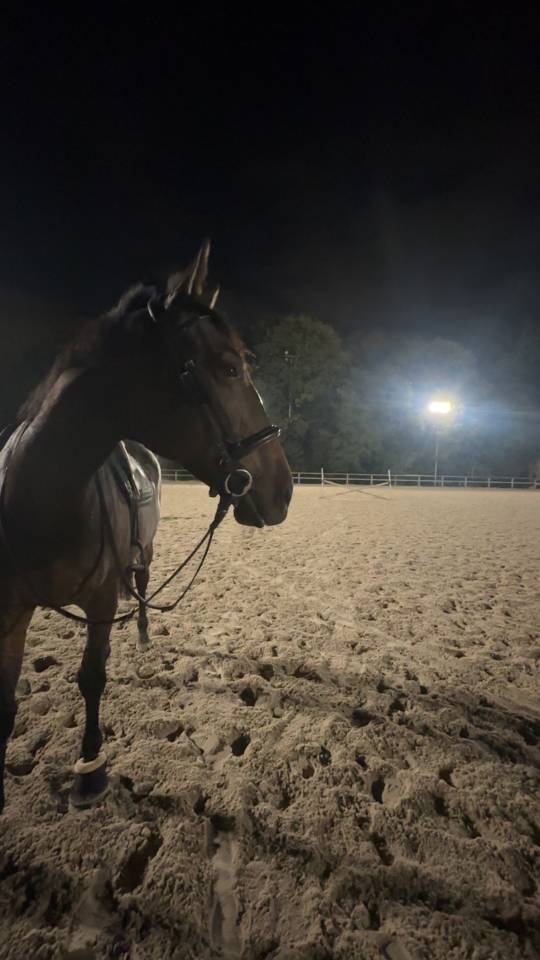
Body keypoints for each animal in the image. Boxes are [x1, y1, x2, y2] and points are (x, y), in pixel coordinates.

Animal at [0, 241, 293, 810]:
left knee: (140, 588)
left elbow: (92, 677)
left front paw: (89, 773)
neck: (42, 502)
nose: (283, 491)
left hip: (145, 553)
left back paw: (141, 636)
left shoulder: (99, 602)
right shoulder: (9, 612)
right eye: (229, 369)